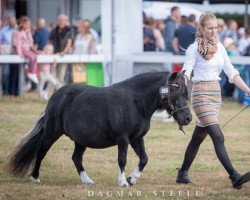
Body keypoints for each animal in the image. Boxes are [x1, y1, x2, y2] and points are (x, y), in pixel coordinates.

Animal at [7, 71, 191, 187]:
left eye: (186, 93)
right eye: (175, 92)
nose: (188, 118)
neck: (136, 102)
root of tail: (56, 96)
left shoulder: (137, 138)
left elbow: (144, 159)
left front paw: (132, 179)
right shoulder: (123, 138)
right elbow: (122, 160)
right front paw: (123, 182)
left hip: (80, 140)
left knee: (76, 158)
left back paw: (87, 181)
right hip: (52, 133)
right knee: (41, 152)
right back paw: (35, 178)